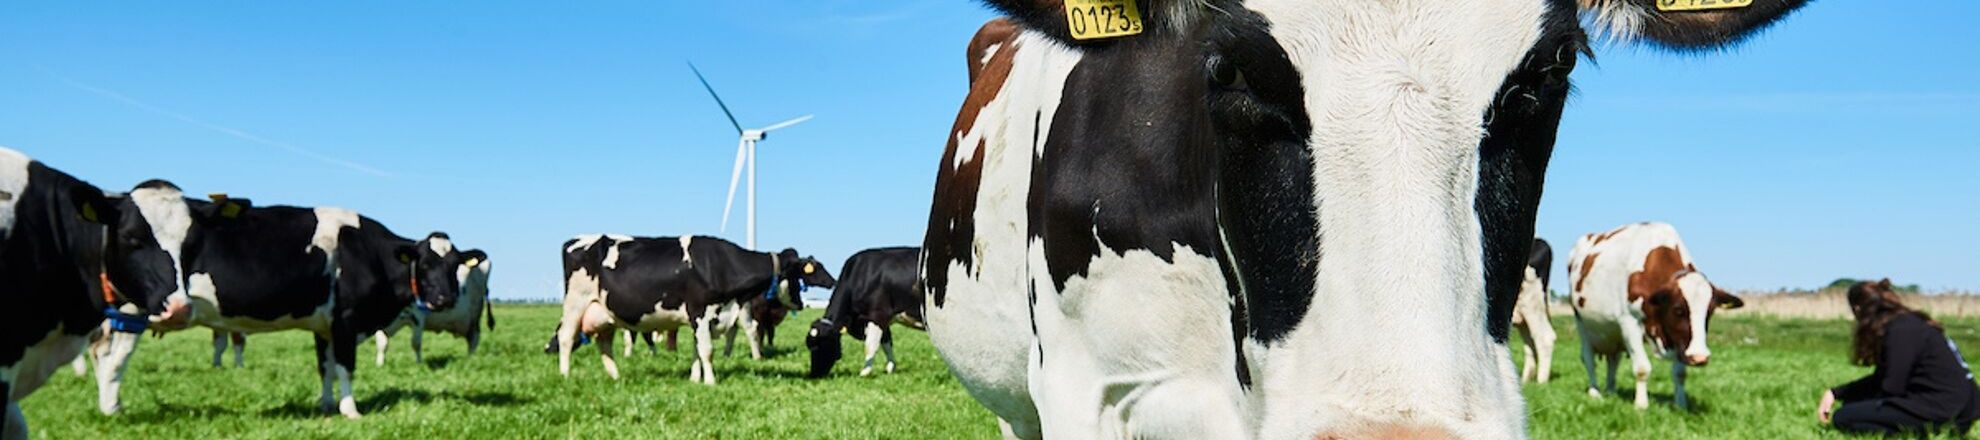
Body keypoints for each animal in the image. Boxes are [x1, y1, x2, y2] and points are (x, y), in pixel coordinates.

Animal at [87, 181, 470, 419]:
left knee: (102, 352)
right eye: (425, 264)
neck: (367, 250)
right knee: (113, 357)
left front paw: (327, 405)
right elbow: (345, 367)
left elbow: (325, 366)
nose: (445, 298)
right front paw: (351, 411)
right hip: (133, 309)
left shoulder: (325, 325)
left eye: (455, 266)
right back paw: (111, 408)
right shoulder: (346, 319)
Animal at [554, 234, 834, 384]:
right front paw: (710, 381)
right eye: (799, 276)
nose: (801, 304)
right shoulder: (700, 312)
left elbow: (697, 350)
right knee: (566, 338)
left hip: (605, 313)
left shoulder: (703, 318)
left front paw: (694, 379)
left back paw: (615, 377)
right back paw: (565, 375)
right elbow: (707, 350)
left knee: (604, 344)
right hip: (576, 302)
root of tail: (574, 240)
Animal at [807, 246, 922, 378]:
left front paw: (864, 372)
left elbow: (870, 345)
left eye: (818, 345)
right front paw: (890, 368)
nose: (814, 374)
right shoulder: (877, 319)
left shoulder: (878, 314)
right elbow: (886, 342)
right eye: (809, 345)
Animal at [1568, 222, 1742, 410]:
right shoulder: (1629, 323)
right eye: (1678, 310)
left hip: (1612, 333)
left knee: (1613, 360)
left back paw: (1611, 390)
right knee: (1588, 359)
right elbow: (1642, 368)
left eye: (1709, 312)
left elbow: (1680, 373)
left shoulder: (1679, 339)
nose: (1700, 357)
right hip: (1582, 323)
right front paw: (1641, 405)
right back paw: (1595, 392)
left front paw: (1680, 405)